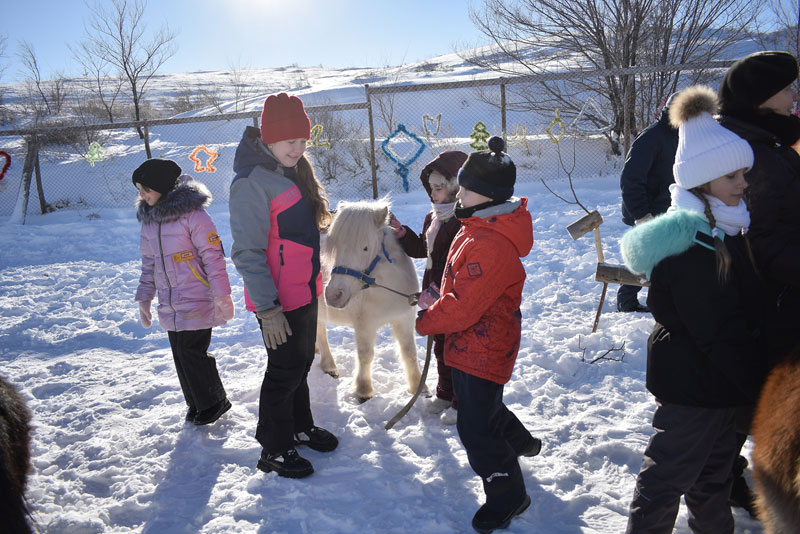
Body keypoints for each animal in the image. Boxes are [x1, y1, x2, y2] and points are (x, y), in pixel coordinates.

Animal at [320, 200, 428, 402]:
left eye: (365, 248)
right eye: (335, 246)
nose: (333, 294)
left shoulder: (404, 318)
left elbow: (409, 352)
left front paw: (418, 387)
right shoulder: (365, 324)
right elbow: (365, 355)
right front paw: (363, 390)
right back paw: (328, 365)